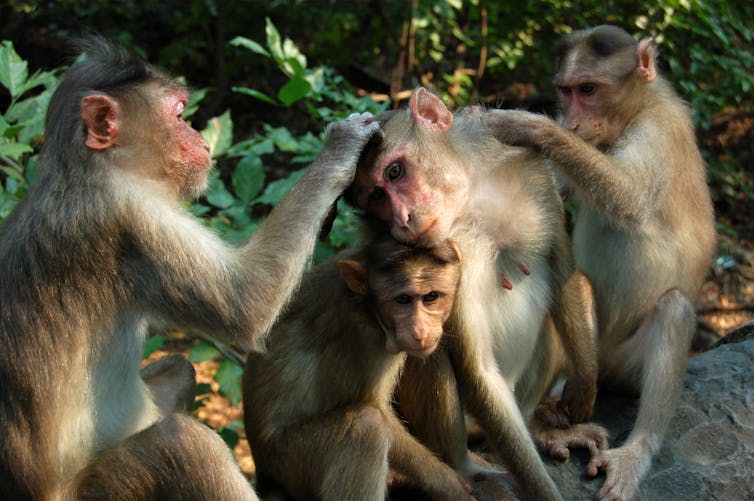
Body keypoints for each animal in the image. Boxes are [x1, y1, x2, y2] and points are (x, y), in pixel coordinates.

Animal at [0, 38, 380, 499]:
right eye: (179, 115)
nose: (200, 137)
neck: (86, 170)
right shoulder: (130, 214)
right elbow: (244, 301)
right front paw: (342, 146)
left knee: (179, 372)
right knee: (183, 444)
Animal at [243, 234, 473, 501]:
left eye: (431, 296)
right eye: (402, 299)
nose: (420, 331)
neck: (366, 305)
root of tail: (263, 471)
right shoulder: (362, 337)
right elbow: (377, 411)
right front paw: (448, 483)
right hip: (290, 461)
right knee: (367, 426)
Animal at [346, 87, 608, 501]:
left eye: (394, 172)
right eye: (376, 197)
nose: (402, 219)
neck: (474, 199)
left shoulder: (531, 172)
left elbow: (562, 263)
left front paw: (583, 387)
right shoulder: (447, 259)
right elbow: (478, 368)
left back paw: (540, 428)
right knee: (431, 353)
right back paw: (465, 467)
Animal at [484, 25, 717, 500]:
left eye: (588, 90)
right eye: (566, 91)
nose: (572, 121)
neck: (637, 108)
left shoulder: (659, 130)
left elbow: (628, 199)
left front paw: (531, 126)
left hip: (626, 368)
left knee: (674, 310)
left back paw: (636, 452)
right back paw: (546, 424)